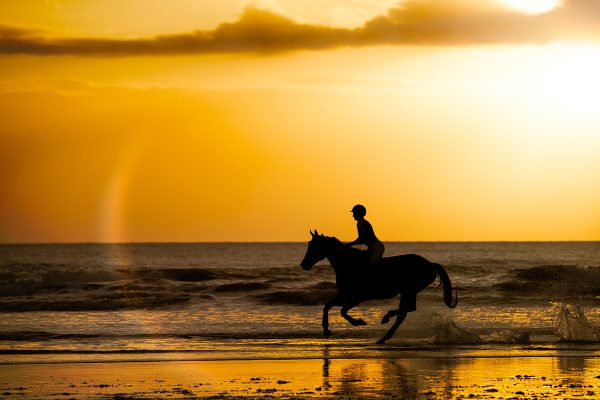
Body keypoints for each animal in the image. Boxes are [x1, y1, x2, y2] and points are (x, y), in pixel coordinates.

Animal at [302, 231, 458, 344]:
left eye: (315, 246)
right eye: (309, 244)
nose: (304, 264)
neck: (349, 264)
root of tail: (430, 264)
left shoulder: (357, 297)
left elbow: (342, 311)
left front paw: (358, 322)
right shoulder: (345, 295)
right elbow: (327, 306)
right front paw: (326, 331)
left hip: (409, 290)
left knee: (407, 310)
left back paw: (385, 320)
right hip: (407, 291)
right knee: (405, 311)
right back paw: (384, 336)